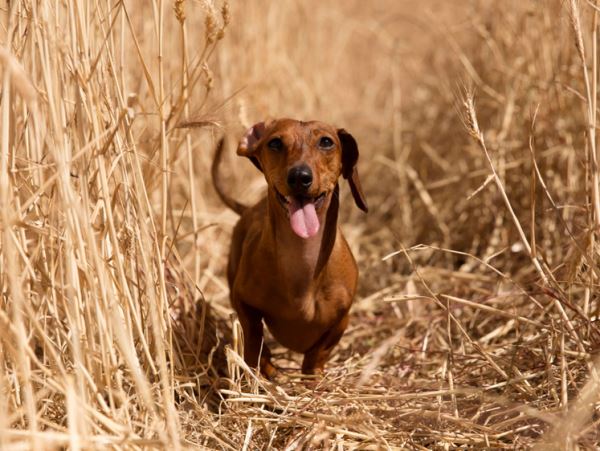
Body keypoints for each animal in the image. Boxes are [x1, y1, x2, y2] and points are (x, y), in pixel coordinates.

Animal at [213, 117, 368, 378]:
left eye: (326, 142)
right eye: (275, 143)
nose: (299, 177)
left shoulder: (341, 319)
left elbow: (318, 352)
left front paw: (313, 376)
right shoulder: (242, 301)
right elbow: (254, 336)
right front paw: (261, 368)